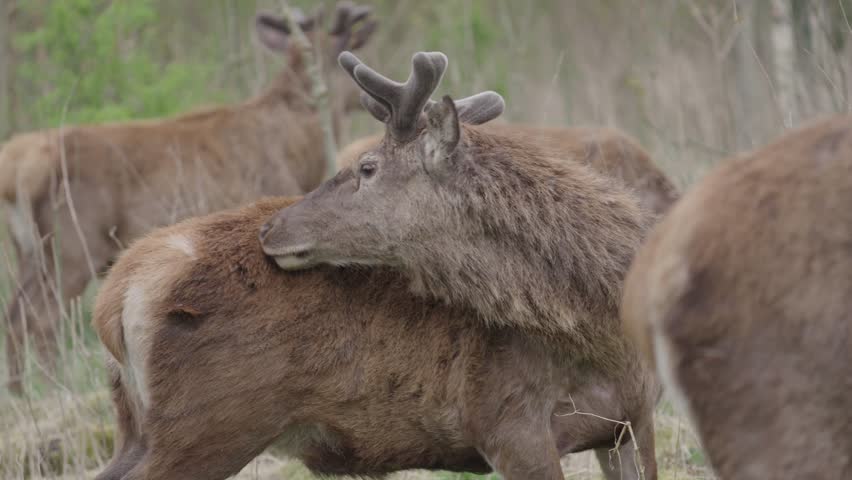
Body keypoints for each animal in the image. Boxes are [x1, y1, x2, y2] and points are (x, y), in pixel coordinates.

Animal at [0, 3, 377, 394]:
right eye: (354, 52)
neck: (301, 144)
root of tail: (16, 167)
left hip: (31, 252)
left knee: (14, 317)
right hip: (72, 247)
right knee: (40, 322)